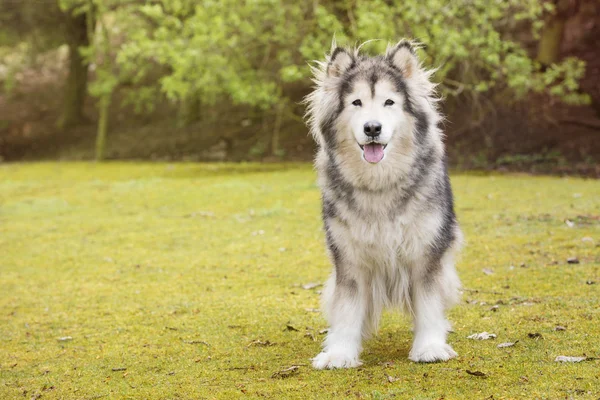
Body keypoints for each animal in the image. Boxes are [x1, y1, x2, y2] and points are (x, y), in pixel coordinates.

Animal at [304, 40, 464, 368]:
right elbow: (347, 307)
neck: (379, 183)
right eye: (356, 103)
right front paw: (340, 351)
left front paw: (429, 347)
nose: (372, 128)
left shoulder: (426, 252)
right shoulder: (348, 256)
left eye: (389, 102)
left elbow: (428, 303)